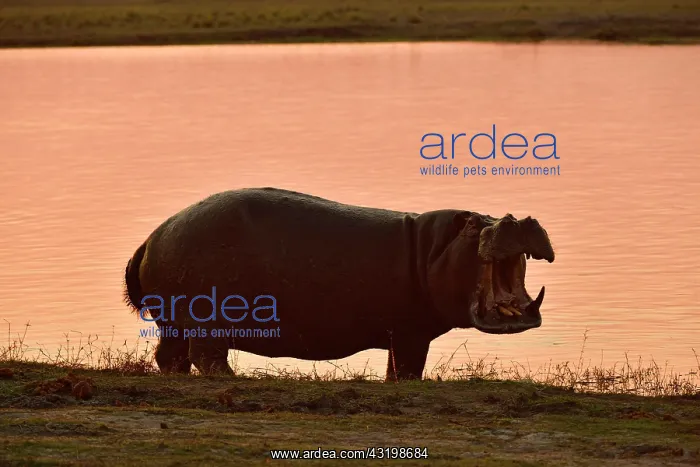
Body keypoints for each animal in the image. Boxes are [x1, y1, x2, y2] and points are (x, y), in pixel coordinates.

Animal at [124, 187, 555, 380]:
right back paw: (234, 379)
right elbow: (406, 368)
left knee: (170, 355)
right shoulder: (410, 333)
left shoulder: (406, 334)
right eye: (472, 224)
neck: (430, 248)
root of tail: (152, 236)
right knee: (207, 356)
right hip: (207, 322)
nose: (520, 219)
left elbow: (400, 369)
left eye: (496, 214)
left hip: (174, 322)